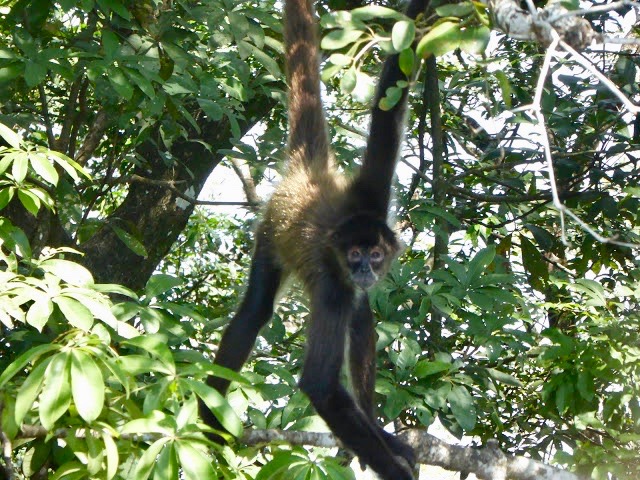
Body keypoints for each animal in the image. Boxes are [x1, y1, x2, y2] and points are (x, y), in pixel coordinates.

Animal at [199, 0, 430, 480]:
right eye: (355, 253)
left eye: (375, 253)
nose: (364, 269)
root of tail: (308, 174)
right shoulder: (332, 283)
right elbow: (319, 386)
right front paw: (393, 469)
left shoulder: (371, 195)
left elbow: (390, 95)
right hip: (270, 234)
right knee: (255, 311)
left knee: (360, 319)